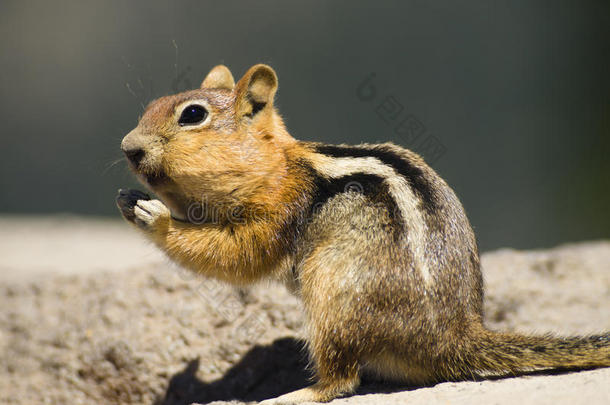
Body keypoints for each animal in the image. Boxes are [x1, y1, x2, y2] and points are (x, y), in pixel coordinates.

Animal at [115, 64, 608, 402]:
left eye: (192, 115)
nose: (127, 147)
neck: (277, 166)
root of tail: (455, 339)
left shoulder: (277, 211)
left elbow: (237, 255)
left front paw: (154, 215)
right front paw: (129, 198)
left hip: (333, 291)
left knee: (343, 379)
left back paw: (297, 394)